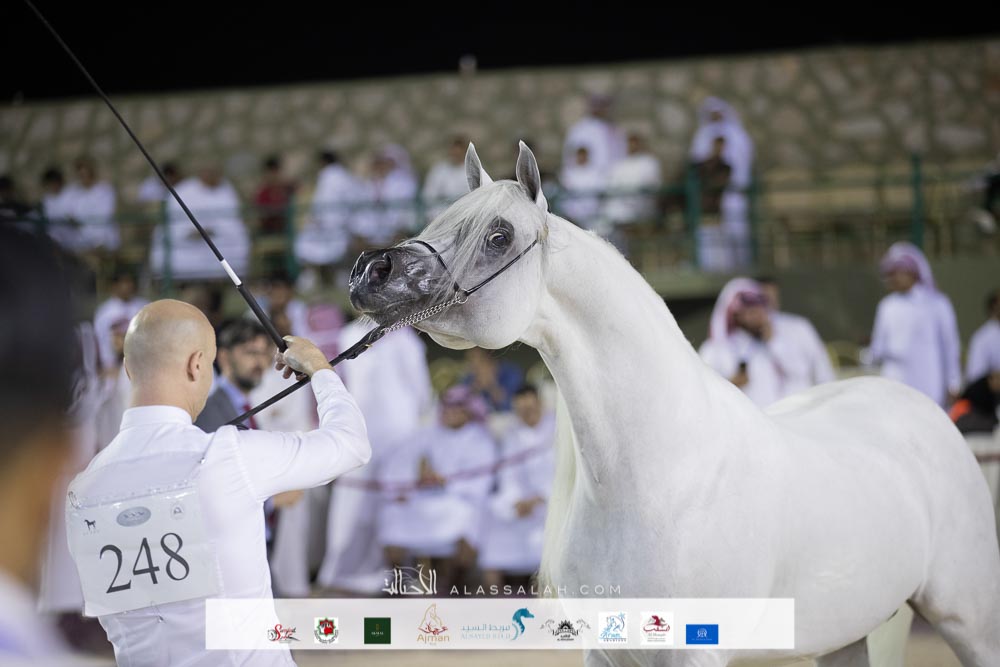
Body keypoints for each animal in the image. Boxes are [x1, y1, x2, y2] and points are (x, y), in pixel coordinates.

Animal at [348, 141, 1000, 666]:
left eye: (498, 234)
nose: (370, 270)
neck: (658, 477)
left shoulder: (695, 655)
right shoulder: (606, 651)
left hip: (969, 620)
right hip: (847, 632)